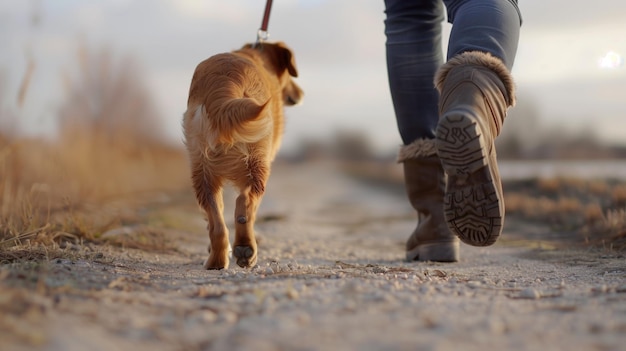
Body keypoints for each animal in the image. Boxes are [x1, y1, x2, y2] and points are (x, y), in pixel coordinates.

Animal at [182, 42, 302, 270]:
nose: (300, 93)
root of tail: (224, 81)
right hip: (257, 163)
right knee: (245, 202)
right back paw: (246, 249)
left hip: (201, 170)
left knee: (217, 222)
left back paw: (217, 261)